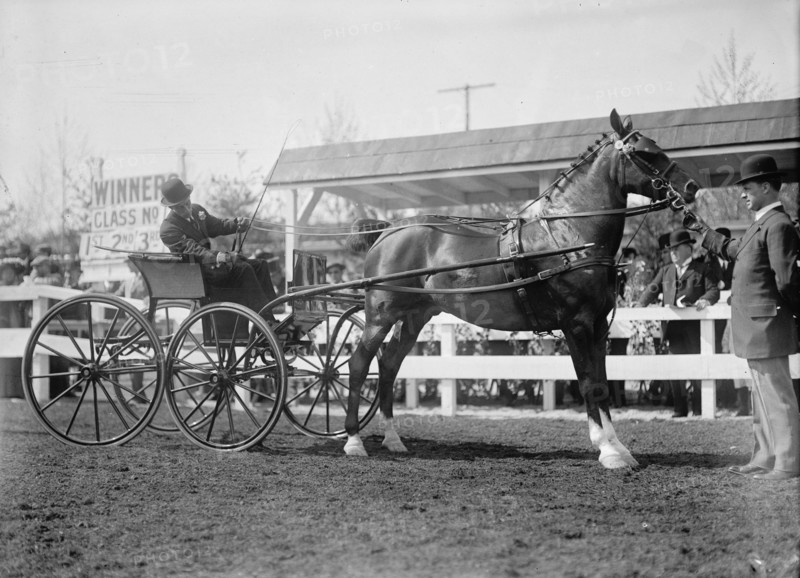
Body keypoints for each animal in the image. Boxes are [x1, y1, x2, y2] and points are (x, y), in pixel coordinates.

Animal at [342, 109, 699, 469]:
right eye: (645, 152)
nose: (691, 186)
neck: (571, 235)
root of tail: (388, 230)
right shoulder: (576, 325)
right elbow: (588, 384)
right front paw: (607, 450)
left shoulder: (599, 328)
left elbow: (601, 383)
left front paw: (618, 448)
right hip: (379, 316)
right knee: (358, 364)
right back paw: (353, 440)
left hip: (414, 316)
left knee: (389, 365)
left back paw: (393, 439)